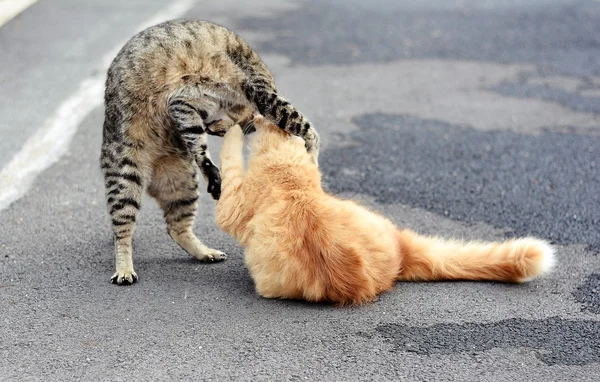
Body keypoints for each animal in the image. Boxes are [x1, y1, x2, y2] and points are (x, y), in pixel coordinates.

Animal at [101, 20, 322, 284]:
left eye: (213, 126)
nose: (211, 127)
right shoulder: (255, 93)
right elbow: (300, 123)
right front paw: (312, 151)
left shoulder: (184, 105)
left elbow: (198, 144)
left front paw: (211, 169)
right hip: (125, 176)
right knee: (123, 231)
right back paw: (124, 268)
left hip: (182, 184)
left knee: (176, 227)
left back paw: (205, 250)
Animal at [213, 115, 556, 304]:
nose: (256, 116)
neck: (291, 181)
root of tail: (401, 254)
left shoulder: (230, 206)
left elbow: (229, 159)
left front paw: (230, 128)